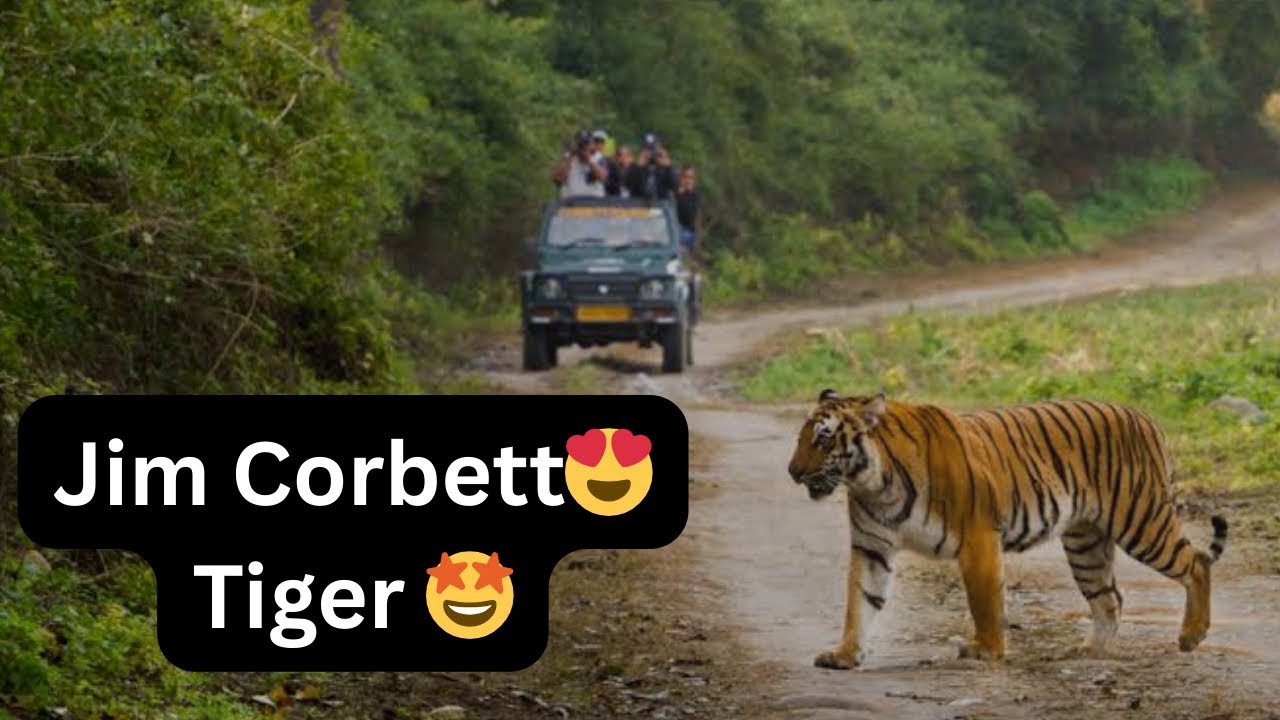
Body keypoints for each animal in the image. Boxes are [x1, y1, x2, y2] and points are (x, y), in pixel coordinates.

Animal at [787, 389, 1228, 669]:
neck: (873, 482)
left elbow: (983, 600)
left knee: (1196, 562)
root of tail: (1144, 416)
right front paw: (845, 655)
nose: (792, 472)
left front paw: (986, 650)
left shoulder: (978, 536)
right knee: (1110, 598)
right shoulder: (872, 547)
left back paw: (1191, 636)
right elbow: (860, 601)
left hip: (1141, 520)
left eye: (823, 439)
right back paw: (1089, 651)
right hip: (1085, 542)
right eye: (802, 438)